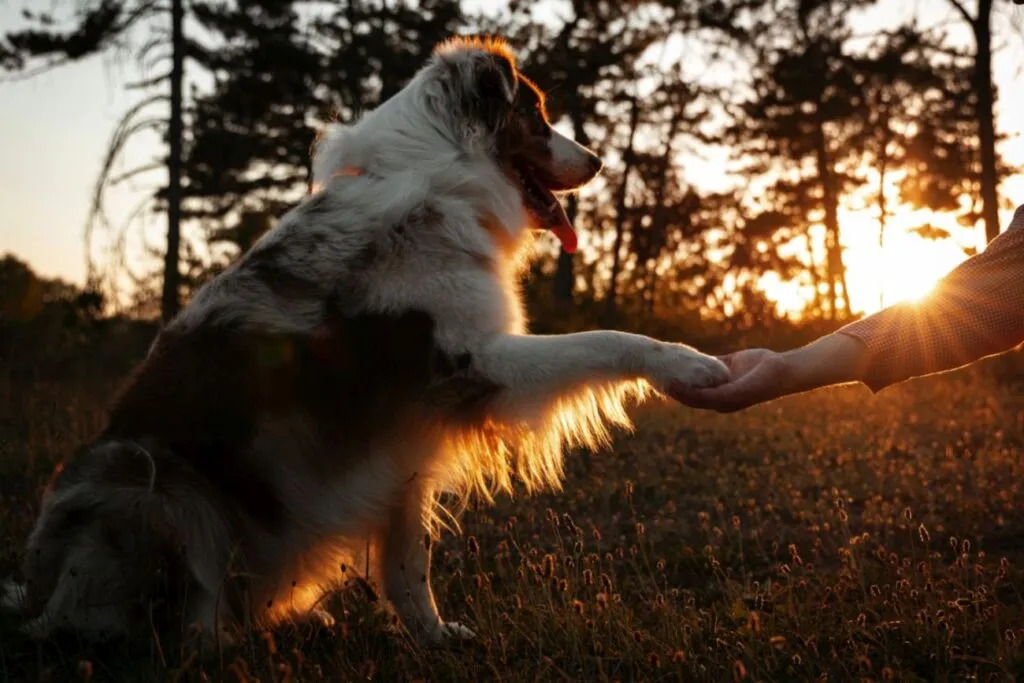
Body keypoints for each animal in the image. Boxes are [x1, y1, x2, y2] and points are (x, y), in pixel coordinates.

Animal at [4, 34, 733, 651]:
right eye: (536, 114)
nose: (599, 160)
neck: (447, 178)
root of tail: (34, 595)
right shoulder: (475, 357)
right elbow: (605, 339)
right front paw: (689, 365)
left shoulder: (405, 437)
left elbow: (409, 559)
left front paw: (434, 638)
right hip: (145, 476)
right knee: (129, 616)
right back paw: (209, 642)